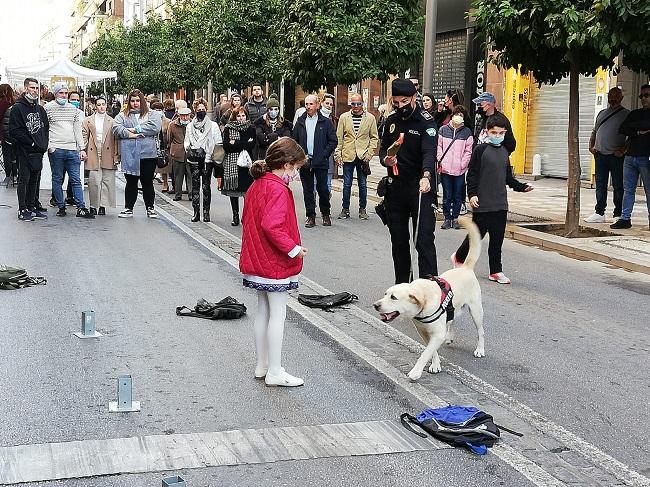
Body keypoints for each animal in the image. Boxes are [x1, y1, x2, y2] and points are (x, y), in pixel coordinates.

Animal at [372, 219, 484, 384]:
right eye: (385, 294)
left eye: (393, 297)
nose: (376, 305)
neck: (423, 298)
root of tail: (465, 267)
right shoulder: (423, 332)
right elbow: (431, 350)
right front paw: (436, 364)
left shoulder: (437, 334)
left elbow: (426, 353)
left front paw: (416, 372)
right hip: (453, 309)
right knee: (451, 320)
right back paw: (449, 337)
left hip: (476, 311)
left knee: (480, 331)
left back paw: (480, 349)